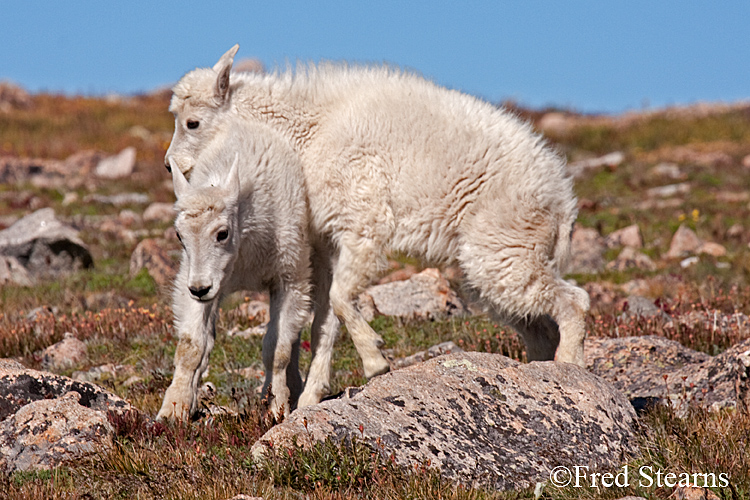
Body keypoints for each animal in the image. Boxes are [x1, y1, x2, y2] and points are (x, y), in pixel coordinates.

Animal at [157, 119, 312, 420]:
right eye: (179, 236)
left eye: (222, 233)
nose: (200, 289)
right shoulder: (194, 280)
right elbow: (191, 346)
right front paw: (173, 409)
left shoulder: (288, 280)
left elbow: (277, 350)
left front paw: (276, 407)